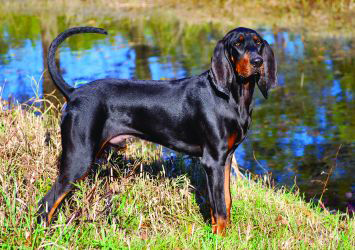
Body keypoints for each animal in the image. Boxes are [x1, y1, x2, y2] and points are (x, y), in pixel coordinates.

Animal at [39, 26, 278, 235]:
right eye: (237, 44)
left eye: (258, 43)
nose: (258, 62)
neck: (232, 96)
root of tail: (74, 93)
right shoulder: (213, 160)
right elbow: (219, 209)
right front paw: (219, 240)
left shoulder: (226, 158)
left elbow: (226, 201)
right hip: (78, 160)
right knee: (46, 203)